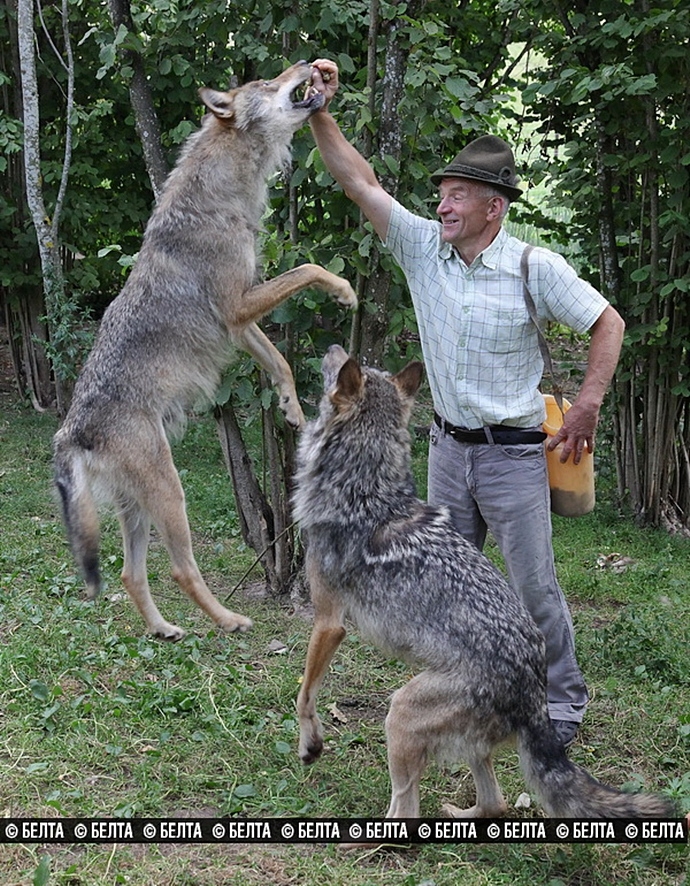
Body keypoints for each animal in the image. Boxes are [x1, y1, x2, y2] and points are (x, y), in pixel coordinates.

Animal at [53, 64, 354, 644]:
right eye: (266, 84)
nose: (310, 66)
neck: (223, 195)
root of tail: (70, 431)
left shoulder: (240, 323)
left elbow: (279, 362)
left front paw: (291, 409)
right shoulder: (239, 305)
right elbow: (310, 270)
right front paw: (345, 290)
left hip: (137, 509)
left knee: (130, 574)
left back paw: (164, 629)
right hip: (172, 495)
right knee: (179, 568)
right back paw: (229, 620)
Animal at [292, 346, 672, 820]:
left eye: (339, 369)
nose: (332, 350)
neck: (363, 489)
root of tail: (534, 690)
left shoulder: (329, 622)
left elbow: (304, 695)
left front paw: (309, 744)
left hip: (399, 715)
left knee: (407, 812)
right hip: (455, 737)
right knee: (495, 803)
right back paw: (462, 814)